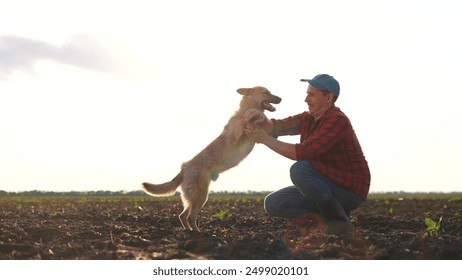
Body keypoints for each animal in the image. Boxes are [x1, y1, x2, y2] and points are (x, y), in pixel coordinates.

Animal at [143, 86, 282, 231]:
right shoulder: (237, 137)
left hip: (194, 198)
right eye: (266, 92)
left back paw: (189, 231)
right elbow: (250, 119)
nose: (281, 99)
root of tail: (184, 169)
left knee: (183, 216)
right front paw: (254, 116)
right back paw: (198, 233)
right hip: (201, 196)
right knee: (190, 217)